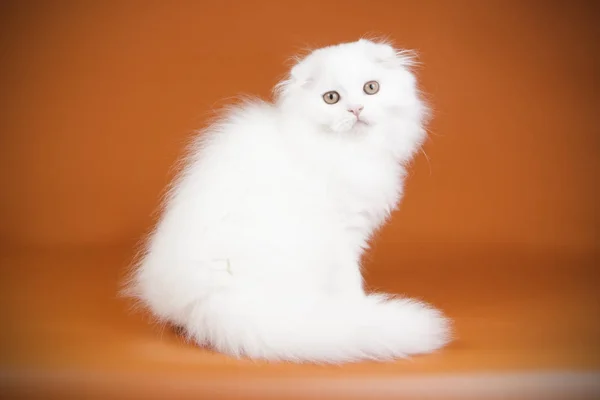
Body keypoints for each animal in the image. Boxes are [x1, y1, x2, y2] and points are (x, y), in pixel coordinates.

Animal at [129, 39, 452, 364]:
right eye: (331, 98)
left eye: (371, 88)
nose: (356, 109)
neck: (351, 151)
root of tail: (210, 299)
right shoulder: (343, 235)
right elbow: (350, 282)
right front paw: (358, 308)